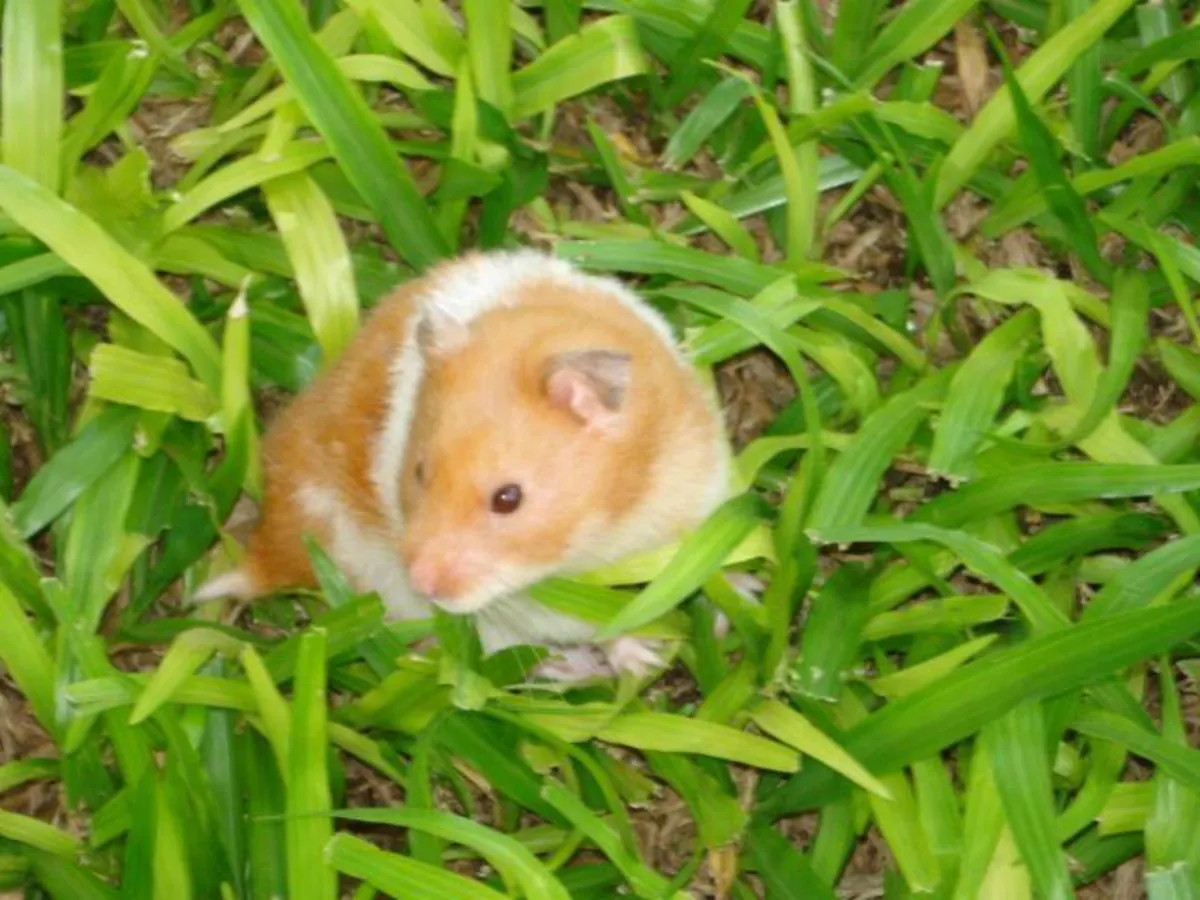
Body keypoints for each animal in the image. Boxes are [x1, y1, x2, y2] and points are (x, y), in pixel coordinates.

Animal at [196, 250, 732, 679]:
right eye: (417, 473)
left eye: (508, 498)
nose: (423, 585)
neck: (616, 510)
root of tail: (265, 554)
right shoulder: (531, 605)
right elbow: (602, 624)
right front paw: (647, 661)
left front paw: (712, 611)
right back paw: (573, 671)